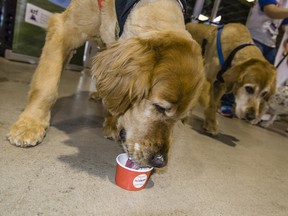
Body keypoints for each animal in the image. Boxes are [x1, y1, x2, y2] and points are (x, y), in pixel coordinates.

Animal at [7, 0, 205, 169]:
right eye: (159, 107)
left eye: (180, 119)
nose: (160, 162)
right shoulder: (64, 28)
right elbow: (46, 84)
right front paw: (30, 124)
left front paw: (111, 122)